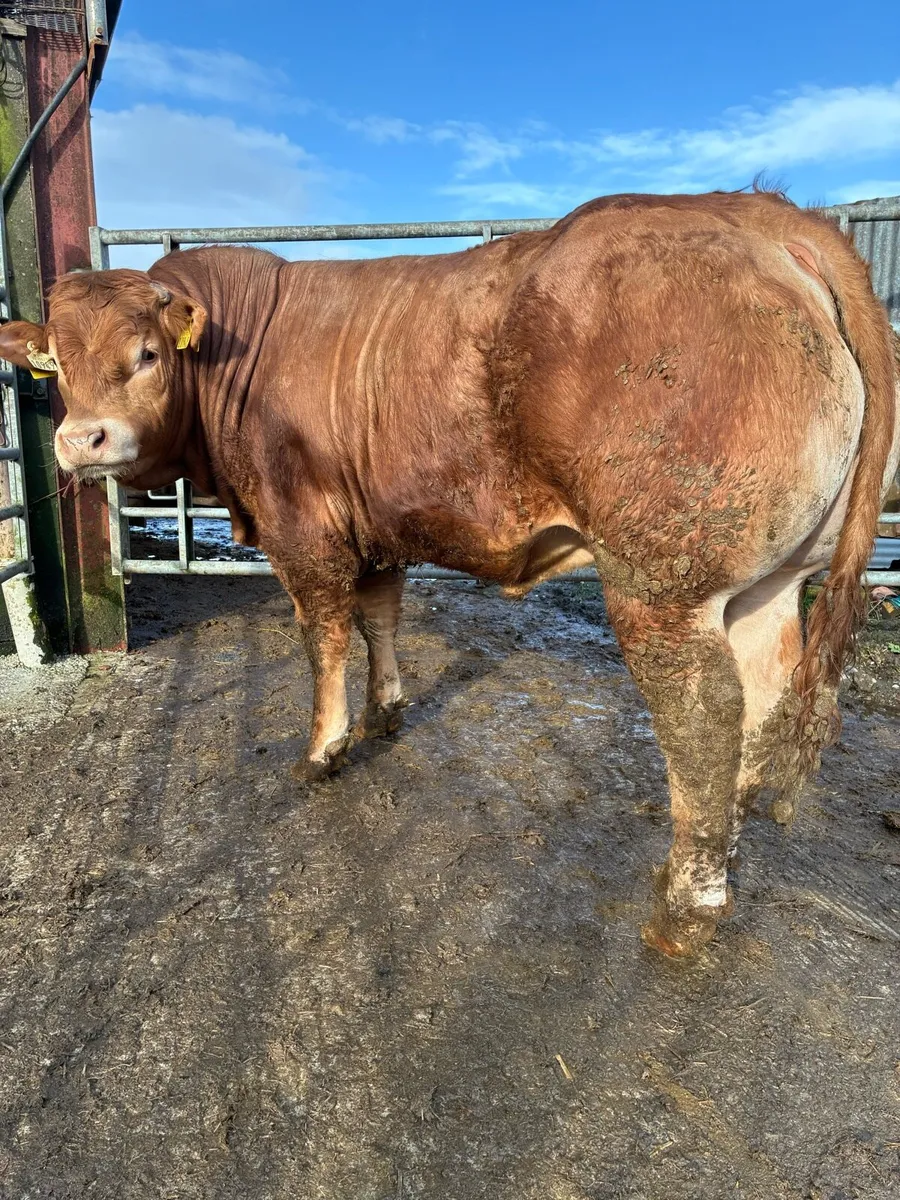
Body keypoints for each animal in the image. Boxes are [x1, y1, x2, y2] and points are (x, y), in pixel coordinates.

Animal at [2, 189, 897, 958]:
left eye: (147, 353)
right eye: (56, 365)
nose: (80, 441)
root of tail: (753, 212)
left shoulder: (304, 534)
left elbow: (324, 638)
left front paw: (323, 748)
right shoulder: (377, 528)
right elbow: (380, 617)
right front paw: (385, 712)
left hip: (663, 581)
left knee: (704, 714)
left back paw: (686, 906)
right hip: (772, 580)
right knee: (766, 695)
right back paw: (732, 828)